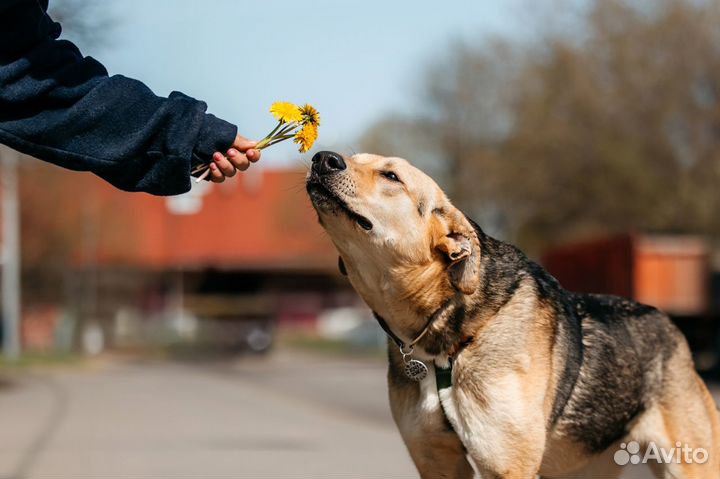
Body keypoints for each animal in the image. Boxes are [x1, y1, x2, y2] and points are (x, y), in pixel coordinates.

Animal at [306, 151, 720, 479]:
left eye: (391, 176)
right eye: (353, 157)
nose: (322, 158)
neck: (448, 333)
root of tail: (670, 327)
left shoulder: (507, 465)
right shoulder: (437, 462)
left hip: (690, 462)